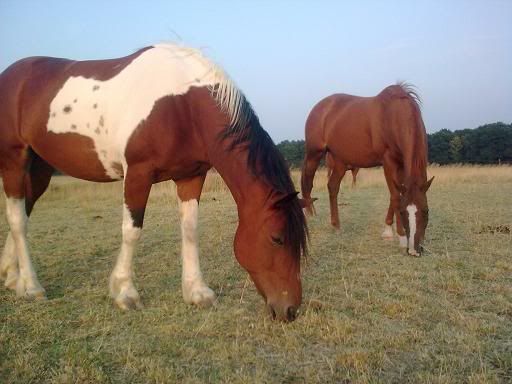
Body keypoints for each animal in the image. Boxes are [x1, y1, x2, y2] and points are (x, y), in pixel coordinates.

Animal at [0, 44, 306, 320]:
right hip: (14, 159)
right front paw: (125, 293)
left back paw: (13, 278)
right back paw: (32, 287)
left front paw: (197, 292)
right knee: (17, 219)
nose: (290, 310)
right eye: (277, 238)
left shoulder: (191, 176)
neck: (182, 105)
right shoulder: (138, 173)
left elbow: (190, 230)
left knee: (23, 211)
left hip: (39, 168)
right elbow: (132, 230)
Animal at [302, 84, 434, 258]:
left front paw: (388, 230)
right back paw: (309, 215)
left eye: (426, 211)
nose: (413, 250)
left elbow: (396, 195)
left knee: (333, 186)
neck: (394, 115)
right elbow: (395, 196)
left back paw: (336, 225)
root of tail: (319, 107)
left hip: (340, 160)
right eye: (403, 212)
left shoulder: (401, 164)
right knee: (307, 182)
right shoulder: (388, 161)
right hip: (314, 153)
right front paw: (398, 236)